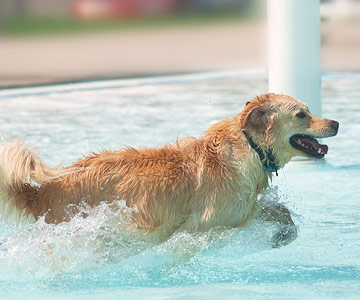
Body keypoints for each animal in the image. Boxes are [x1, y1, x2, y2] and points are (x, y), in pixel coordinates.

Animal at [0, 93, 338, 246]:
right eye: (302, 114)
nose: (335, 123)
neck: (250, 146)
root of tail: (42, 191)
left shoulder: (244, 208)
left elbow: (278, 210)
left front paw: (283, 235)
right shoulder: (206, 224)